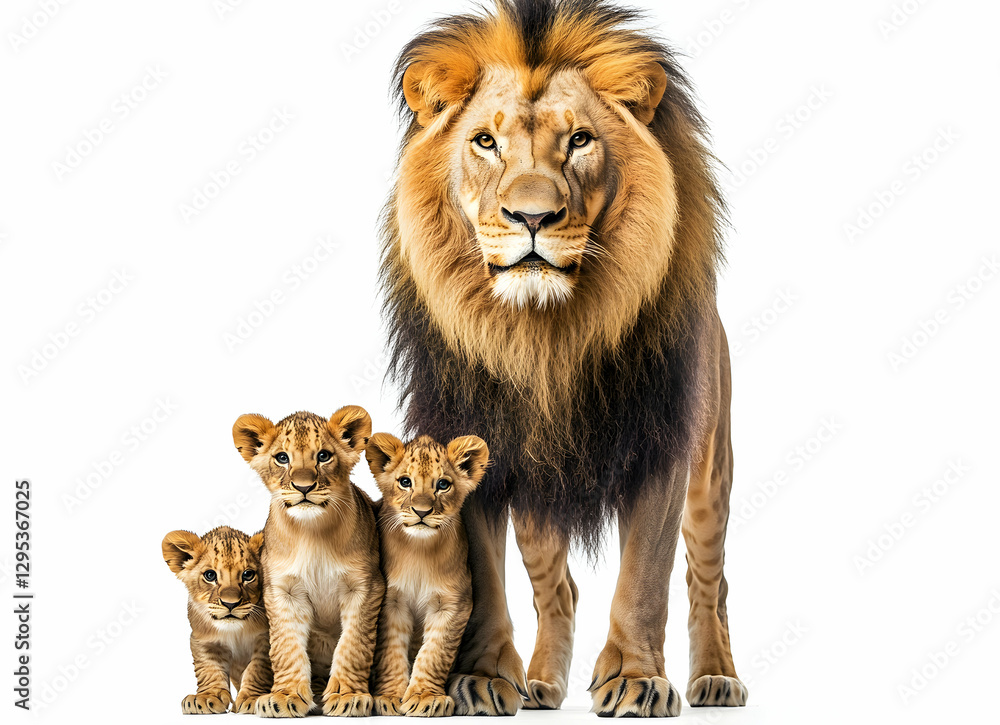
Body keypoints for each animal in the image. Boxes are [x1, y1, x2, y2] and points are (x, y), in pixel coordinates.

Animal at [161, 526, 272, 714]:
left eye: (248, 574)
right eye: (210, 575)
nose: (230, 603)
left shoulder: (266, 638)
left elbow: (257, 669)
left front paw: (252, 698)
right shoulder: (204, 640)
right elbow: (209, 668)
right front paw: (207, 697)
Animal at [232, 407, 385, 717]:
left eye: (323, 456)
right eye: (282, 457)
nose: (304, 487)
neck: (312, 532)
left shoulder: (365, 587)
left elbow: (353, 644)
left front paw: (348, 695)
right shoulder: (282, 592)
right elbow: (287, 646)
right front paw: (286, 696)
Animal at [365, 433, 488, 717]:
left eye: (443, 484)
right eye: (405, 482)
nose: (421, 512)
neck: (419, 551)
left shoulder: (454, 604)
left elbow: (434, 652)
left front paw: (424, 697)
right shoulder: (391, 601)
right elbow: (391, 651)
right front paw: (389, 696)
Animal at [380, 0, 746, 716]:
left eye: (579, 140)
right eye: (484, 142)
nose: (532, 217)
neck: (547, 337)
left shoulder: (660, 444)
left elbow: (645, 576)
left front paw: (636, 678)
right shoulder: (479, 444)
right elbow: (485, 575)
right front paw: (483, 677)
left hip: (711, 474)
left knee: (709, 579)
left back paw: (716, 676)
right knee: (559, 589)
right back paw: (542, 684)